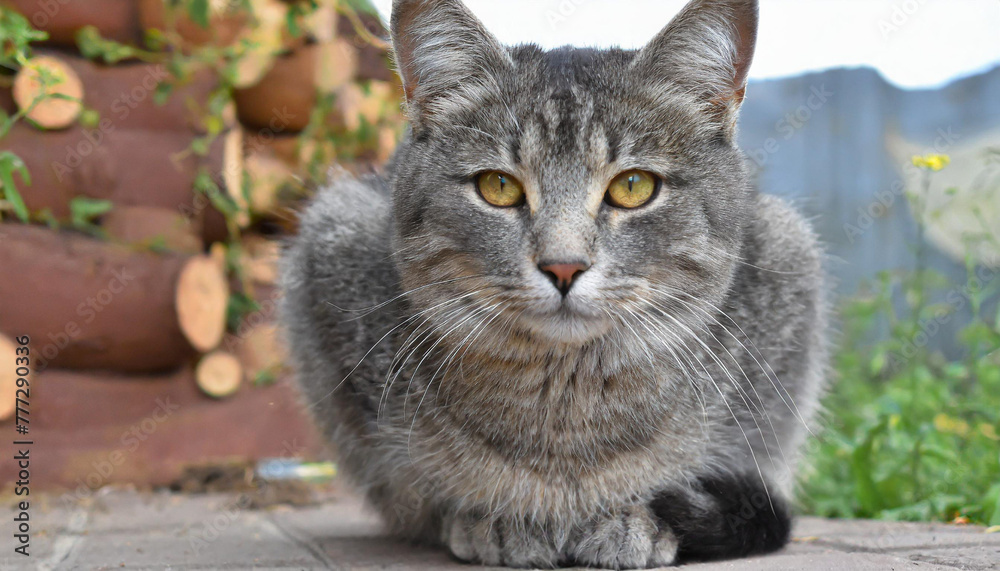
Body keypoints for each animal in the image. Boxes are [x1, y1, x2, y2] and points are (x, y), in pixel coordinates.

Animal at [282, 0, 828, 568]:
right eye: (498, 186)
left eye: (634, 186)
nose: (563, 267)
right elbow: (420, 489)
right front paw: (496, 518)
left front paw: (632, 519)